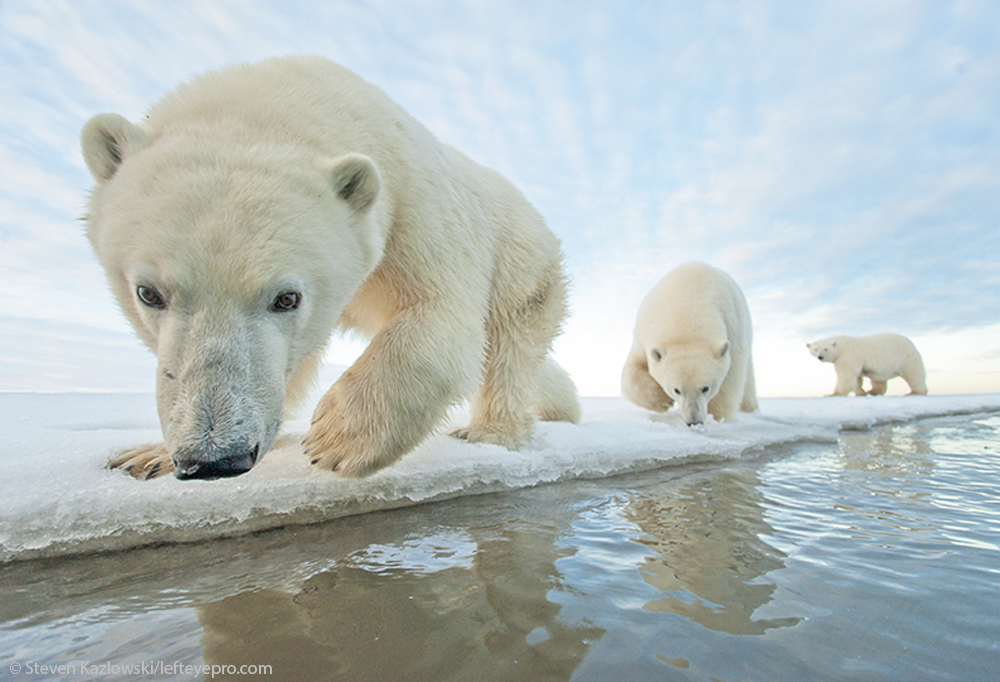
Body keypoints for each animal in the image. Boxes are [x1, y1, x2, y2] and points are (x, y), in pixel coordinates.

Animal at [82, 55, 584, 478]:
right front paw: (147, 457)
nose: (214, 457)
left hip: (521, 262)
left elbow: (444, 314)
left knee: (508, 348)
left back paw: (490, 431)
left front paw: (338, 438)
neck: (293, 100)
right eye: (148, 293)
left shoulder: (410, 200)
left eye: (287, 297)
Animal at [620, 262, 752, 424]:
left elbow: (732, 376)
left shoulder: (733, 326)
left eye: (705, 388)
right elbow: (633, 369)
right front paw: (663, 401)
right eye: (677, 390)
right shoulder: (643, 332)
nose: (694, 421)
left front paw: (715, 416)